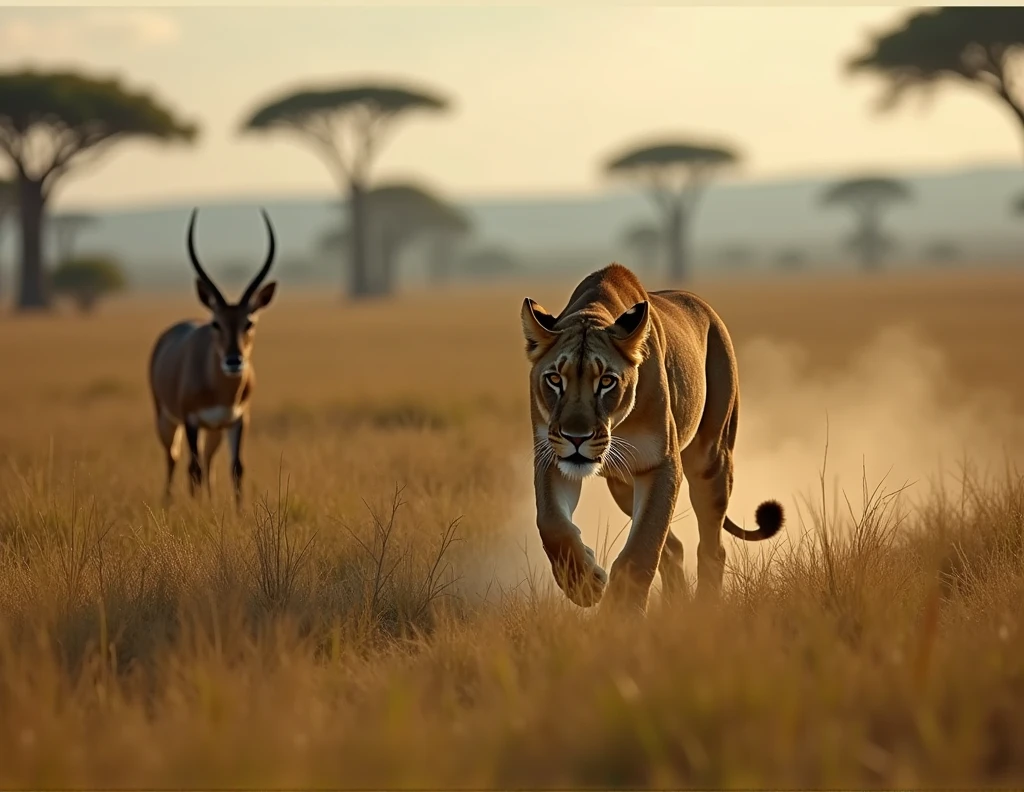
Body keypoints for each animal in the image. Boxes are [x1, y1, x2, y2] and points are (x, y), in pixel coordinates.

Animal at [146, 206, 278, 510]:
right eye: (216, 323)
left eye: (249, 322)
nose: (233, 360)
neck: (219, 388)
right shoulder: (192, 420)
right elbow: (192, 468)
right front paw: (196, 510)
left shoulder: (238, 420)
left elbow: (237, 467)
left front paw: (238, 512)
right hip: (167, 420)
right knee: (174, 458)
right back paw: (169, 501)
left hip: (215, 429)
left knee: (208, 461)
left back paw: (208, 501)